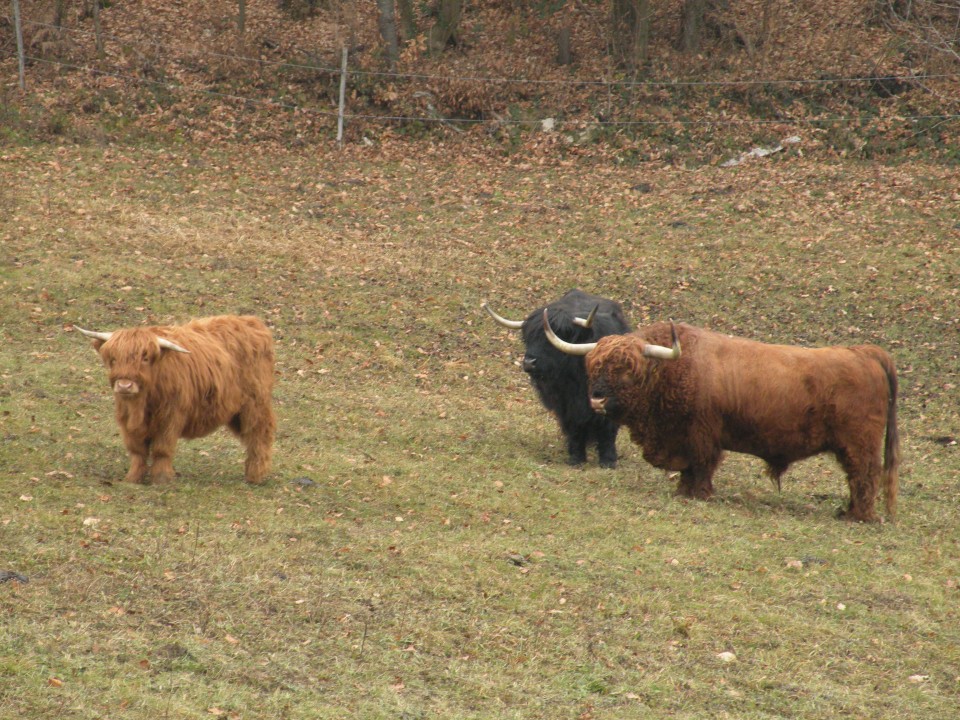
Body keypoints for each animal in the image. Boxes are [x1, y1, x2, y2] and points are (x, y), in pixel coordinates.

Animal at [77, 314, 276, 484]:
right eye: (113, 359)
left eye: (145, 358)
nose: (125, 385)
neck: (142, 404)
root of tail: (253, 322)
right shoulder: (127, 419)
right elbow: (137, 451)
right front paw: (133, 478)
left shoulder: (170, 417)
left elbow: (162, 449)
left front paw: (161, 479)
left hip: (255, 404)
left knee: (259, 434)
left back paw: (255, 476)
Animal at [484, 290, 632, 470]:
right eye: (528, 337)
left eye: (556, 337)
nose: (529, 362)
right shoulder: (565, 402)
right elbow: (574, 426)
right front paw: (576, 459)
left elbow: (607, 428)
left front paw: (608, 461)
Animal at [548, 316, 900, 524]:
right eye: (594, 365)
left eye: (628, 370)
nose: (597, 398)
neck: (674, 370)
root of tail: (865, 353)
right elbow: (689, 469)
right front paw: (683, 492)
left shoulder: (702, 435)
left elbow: (702, 466)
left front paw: (698, 495)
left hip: (859, 445)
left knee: (864, 477)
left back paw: (856, 516)